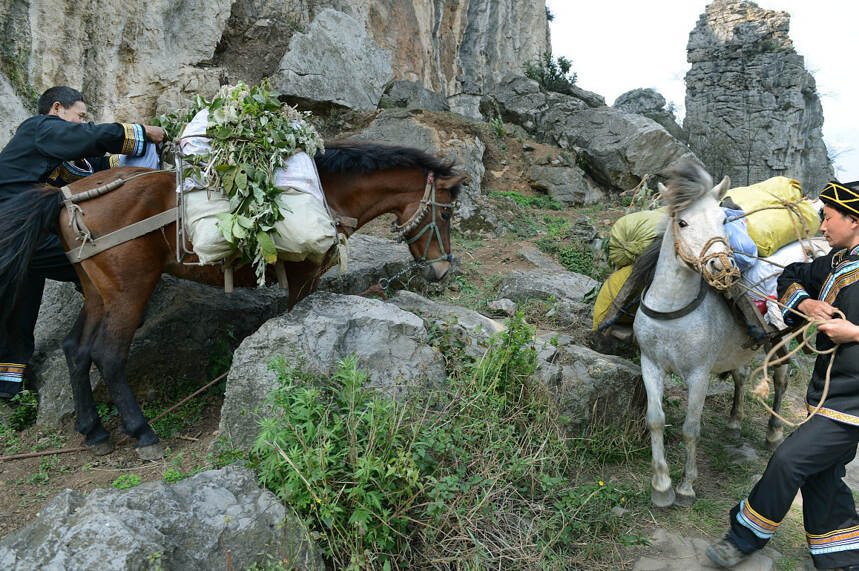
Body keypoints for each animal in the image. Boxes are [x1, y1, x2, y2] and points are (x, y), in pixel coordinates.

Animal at [0, 142, 464, 460]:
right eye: (445, 213)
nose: (442, 272)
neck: (327, 191)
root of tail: (66, 198)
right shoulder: (303, 279)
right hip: (131, 291)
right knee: (108, 356)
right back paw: (143, 433)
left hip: (98, 293)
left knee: (76, 350)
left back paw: (93, 430)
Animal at [632, 162, 788, 510]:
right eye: (683, 221)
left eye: (722, 220)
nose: (723, 268)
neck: (673, 310)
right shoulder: (651, 364)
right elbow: (655, 419)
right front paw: (661, 486)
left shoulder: (699, 374)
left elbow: (691, 429)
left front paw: (686, 487)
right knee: (741, 376)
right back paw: (734, 423)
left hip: (784, 340)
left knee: (781, 380)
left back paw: (773, 434)